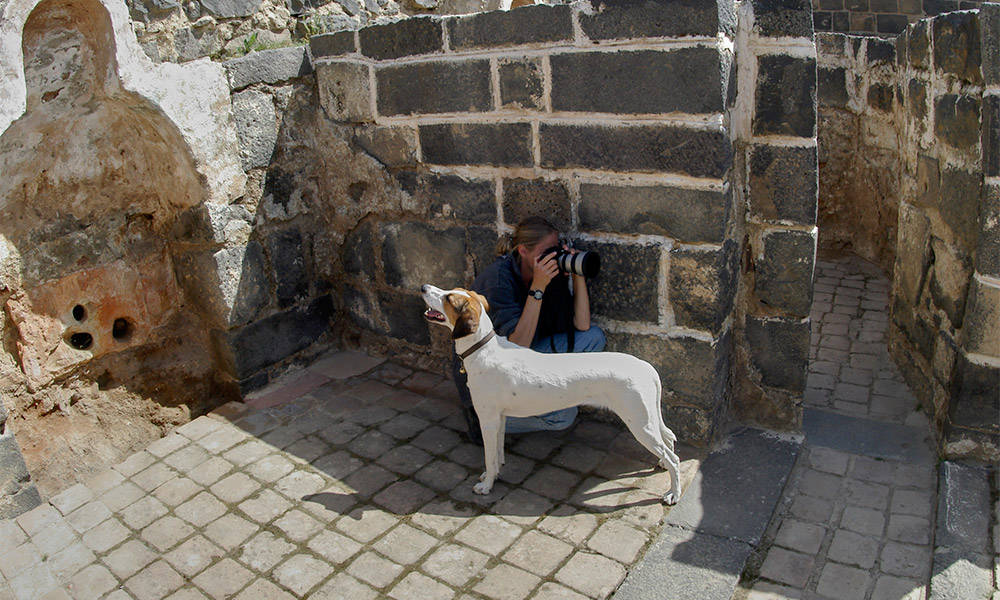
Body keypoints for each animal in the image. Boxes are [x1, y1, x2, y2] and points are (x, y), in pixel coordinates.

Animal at [418, 284, 684, 504]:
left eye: (448, 298)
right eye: (451, 291)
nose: (423, 287)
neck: (482, 349)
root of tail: (644, 365)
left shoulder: (488, 419)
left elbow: (489, 456)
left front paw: (487, 485)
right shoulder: (500, 419)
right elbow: (498, 453)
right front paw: (494, 473)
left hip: (639, 424)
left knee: (674, 458)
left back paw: (673, 493)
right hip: (649, 419)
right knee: (669, 438)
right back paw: (662, 465)